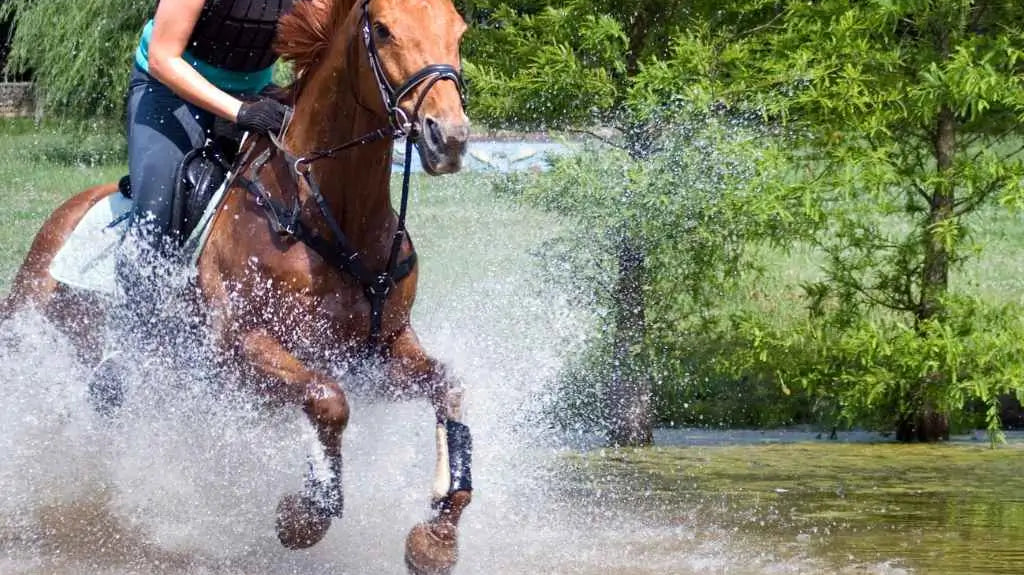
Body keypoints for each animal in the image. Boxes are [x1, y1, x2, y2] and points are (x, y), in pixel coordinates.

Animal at [1, 0, 473, 572]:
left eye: (458, 32)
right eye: (382, 30)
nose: (449, 137)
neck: (319, 211)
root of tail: (62, 213)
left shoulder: (380, 352)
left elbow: (450, 388)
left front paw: (437, 535)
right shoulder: (239, 350)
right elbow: (327, 399)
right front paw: (305, 516)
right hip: (30, 325)